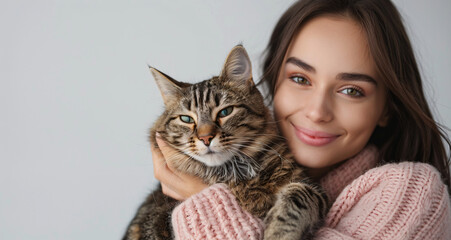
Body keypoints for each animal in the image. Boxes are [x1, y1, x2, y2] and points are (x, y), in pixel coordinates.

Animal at [123, 45, 328, 240]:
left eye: (225, 112)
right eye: (186, 119)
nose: (206, 138)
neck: (238, 175)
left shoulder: (313, 189)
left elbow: (297, 196)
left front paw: (277, 233)